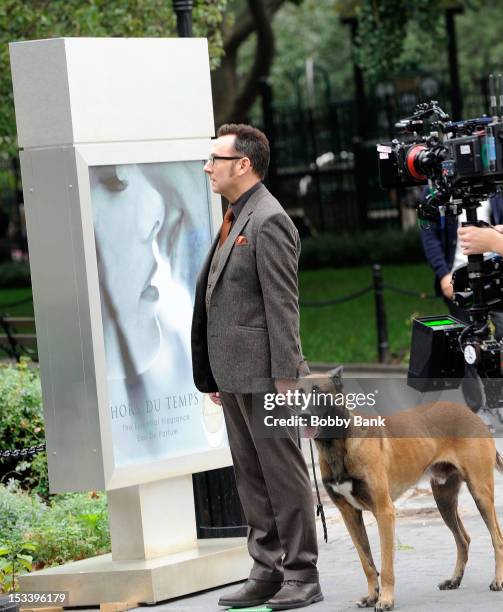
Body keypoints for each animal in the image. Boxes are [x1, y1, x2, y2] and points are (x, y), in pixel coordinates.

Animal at [304, 370, 503, 608]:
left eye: (319, 393)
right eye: (297, 393)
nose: (303, 415)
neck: (338, 445)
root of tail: (473, 414)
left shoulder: (384, 512)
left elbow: (386, 565)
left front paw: (386, 600)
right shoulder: (349, 514)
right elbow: (367, 563)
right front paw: (371, 596)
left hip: (480, 493)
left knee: (497, 538)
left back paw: (498, 581)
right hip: (444, 499)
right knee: (463, 539)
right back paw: (454, 580)